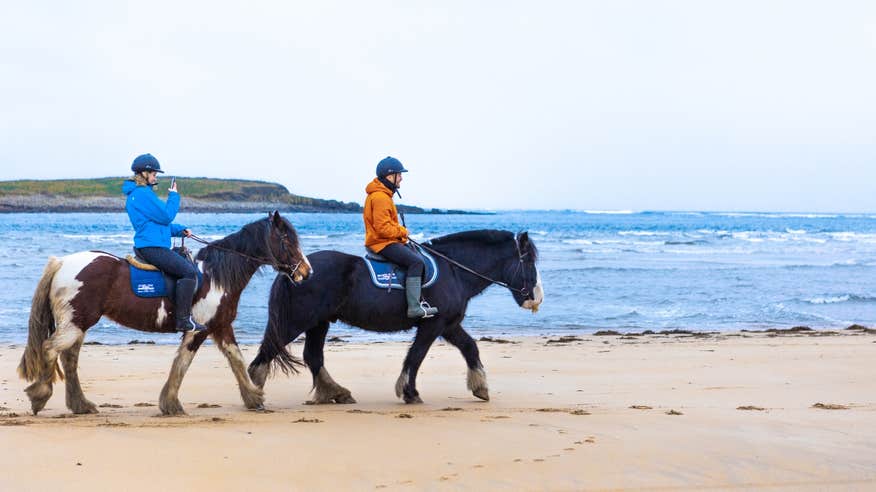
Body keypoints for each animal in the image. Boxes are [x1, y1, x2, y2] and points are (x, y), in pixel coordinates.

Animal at [16, 211, 312, 416]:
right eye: (286, 239)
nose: (306, 271)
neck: (215, 276)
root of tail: (62, 263)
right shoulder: (198, 329)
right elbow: (183, 363)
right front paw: (171, 404)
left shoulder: (220, 327)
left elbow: (235, 360)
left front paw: (253, 397)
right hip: (75, 322)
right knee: (50, 349)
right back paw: (40, 395)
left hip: (78, 323)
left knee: (69, 358)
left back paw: (81, 404)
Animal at [246, 230, 544, 404]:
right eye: (529, 262)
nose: (537, 297)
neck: (454, 271)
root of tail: (297, 270)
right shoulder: (432, 324)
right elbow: (416, 356)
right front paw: (410, 392)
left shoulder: (448, 324)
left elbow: (470, 347)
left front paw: (480, 387)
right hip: (298, 321)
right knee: (269, 351)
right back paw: (254, 392)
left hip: (319, 323)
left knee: (312, 356)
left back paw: (336, 393)